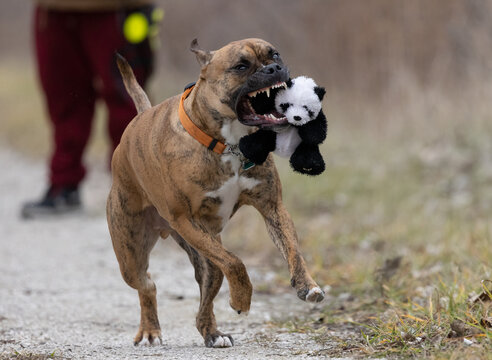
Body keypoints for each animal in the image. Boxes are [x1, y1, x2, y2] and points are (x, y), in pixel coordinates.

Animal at [105, 38, 324, 348]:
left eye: (275, 54)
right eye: (241, 66)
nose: (274, 68)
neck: (228, 142)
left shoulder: (272, 207)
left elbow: (292, 248)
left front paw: (307, 286)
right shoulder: (186, 220)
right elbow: (236, 262)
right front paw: (242, 299)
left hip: (202, 253)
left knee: (210, 285)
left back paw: (212, 333)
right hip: (132, 252)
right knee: (147, 284)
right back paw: (150, 330)